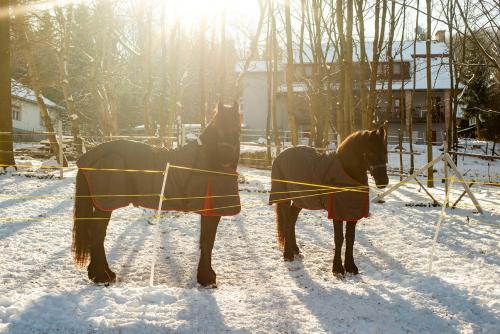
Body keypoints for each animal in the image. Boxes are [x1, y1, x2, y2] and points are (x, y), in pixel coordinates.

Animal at [72, 102, 240, 288]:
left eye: (237, 128)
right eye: (218, 128)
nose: (226, 156)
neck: (207, 163)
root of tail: (89, 156)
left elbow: (206, 241)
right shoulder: (211, 211)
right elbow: (207, 241)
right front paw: (207, 278)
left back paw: (101, 273)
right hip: (106, 204)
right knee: (97, 233)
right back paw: (101, 275)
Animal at [270, 127, 390, 276]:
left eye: (385, 151)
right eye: (371, 152)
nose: (383, 181)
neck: (346, 173)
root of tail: (280, 156)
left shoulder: (352, 213)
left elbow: (350, 239)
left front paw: (350, 266)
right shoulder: (337, 213)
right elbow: (339, 239)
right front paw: (337, 268)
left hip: (301, 200)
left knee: (291, 221)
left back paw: (295, 249)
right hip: (285, 198)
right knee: (287, 222)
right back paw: (288, 254)